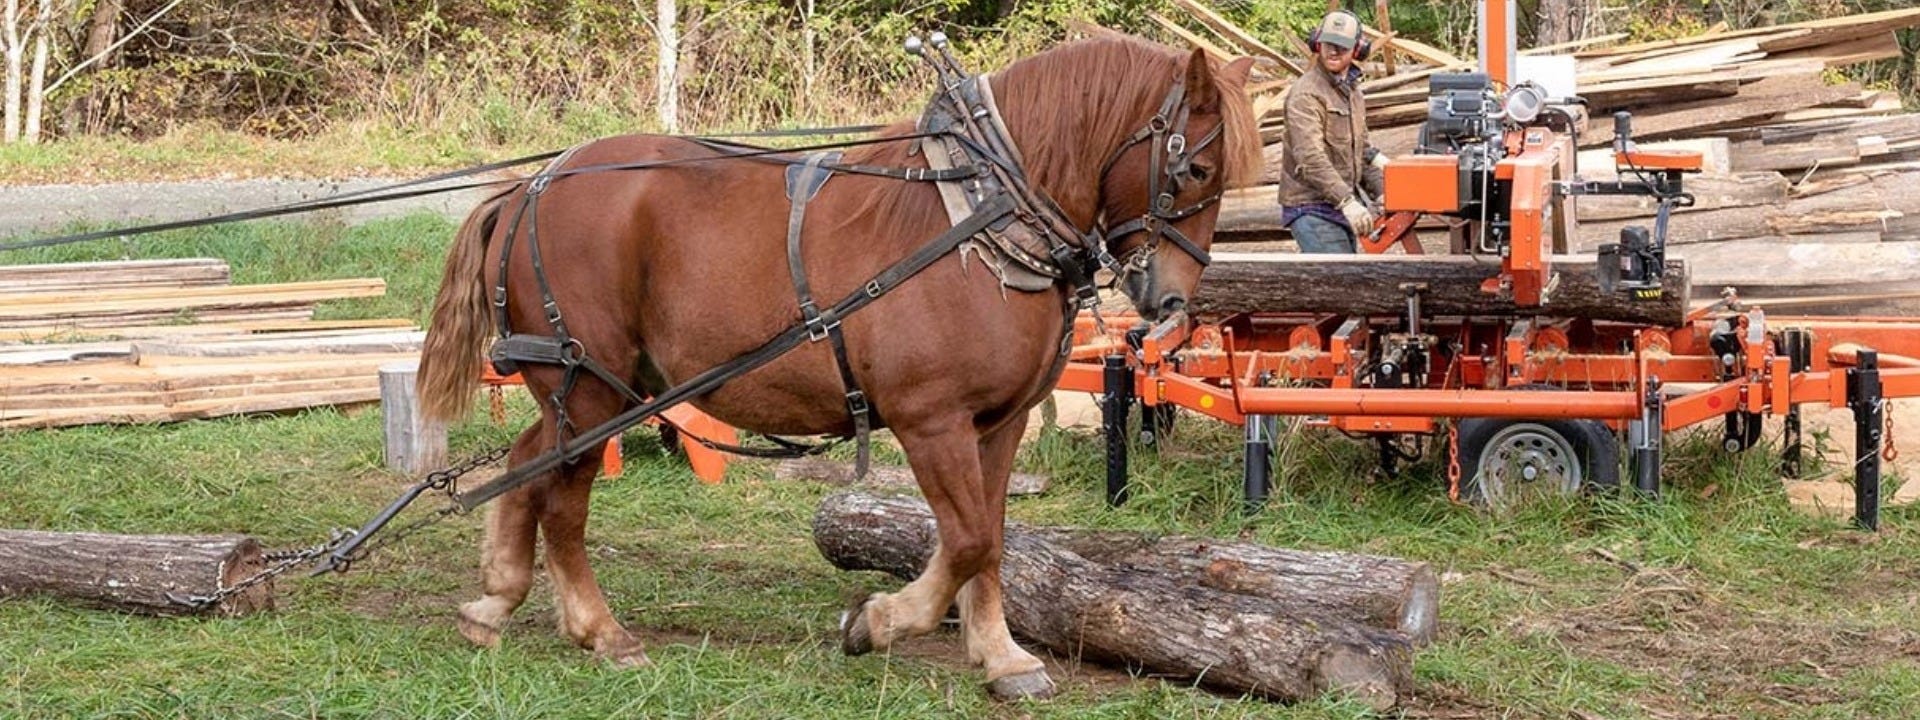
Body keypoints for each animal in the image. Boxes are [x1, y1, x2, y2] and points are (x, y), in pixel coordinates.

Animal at [412, 36, 1259, 702]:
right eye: (1194, 170)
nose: (1173, 302)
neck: (979, 224)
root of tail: (531, 186)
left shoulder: (1000, 422)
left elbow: (991, 538)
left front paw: (1002, 657)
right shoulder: (930, 420)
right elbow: (965, 541)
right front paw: (875, 621)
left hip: (591, 390)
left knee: (525, 463)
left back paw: (495, 600)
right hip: (589, 387)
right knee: (563, 499)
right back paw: (599, 630)